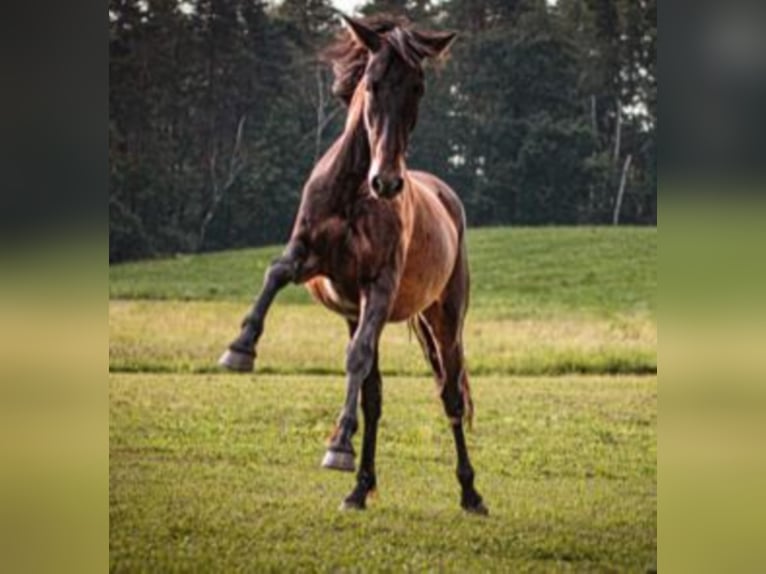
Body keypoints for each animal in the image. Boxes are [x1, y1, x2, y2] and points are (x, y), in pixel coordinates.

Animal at [219, 14, 488, 516]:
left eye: (418, 87)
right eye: (372, 81)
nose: (387, 183)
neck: (352, 191)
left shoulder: (377, 286)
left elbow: (357, 359)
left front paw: (337, 445)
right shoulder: (314, 263)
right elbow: (274, 272)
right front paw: (241, 347)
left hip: (442, 319)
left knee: (450, 395)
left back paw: (471, 493)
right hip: (361, 314)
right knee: (374, 394)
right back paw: (360, 489)